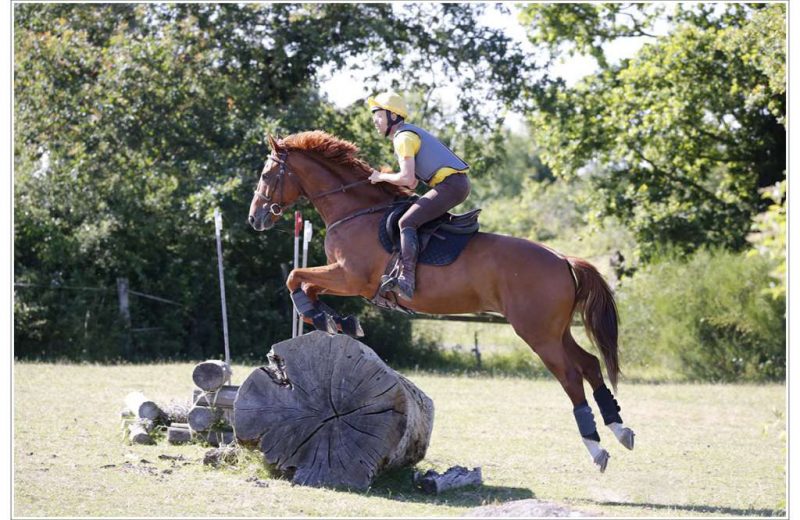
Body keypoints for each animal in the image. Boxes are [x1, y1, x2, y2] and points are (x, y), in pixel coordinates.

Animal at [247, 129, 636, 472]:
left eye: (266, 174)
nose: (255, 218)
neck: (354, 212)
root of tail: (562, 259)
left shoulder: (350, 277)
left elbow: (295, 277)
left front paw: (324, 316)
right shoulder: (343, 278)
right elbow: (305, 284)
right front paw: (337, 320)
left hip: (537, 334)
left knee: (570, 376)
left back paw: (595, 447)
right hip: (555, 331)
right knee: (589, 364)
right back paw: (620, 429)